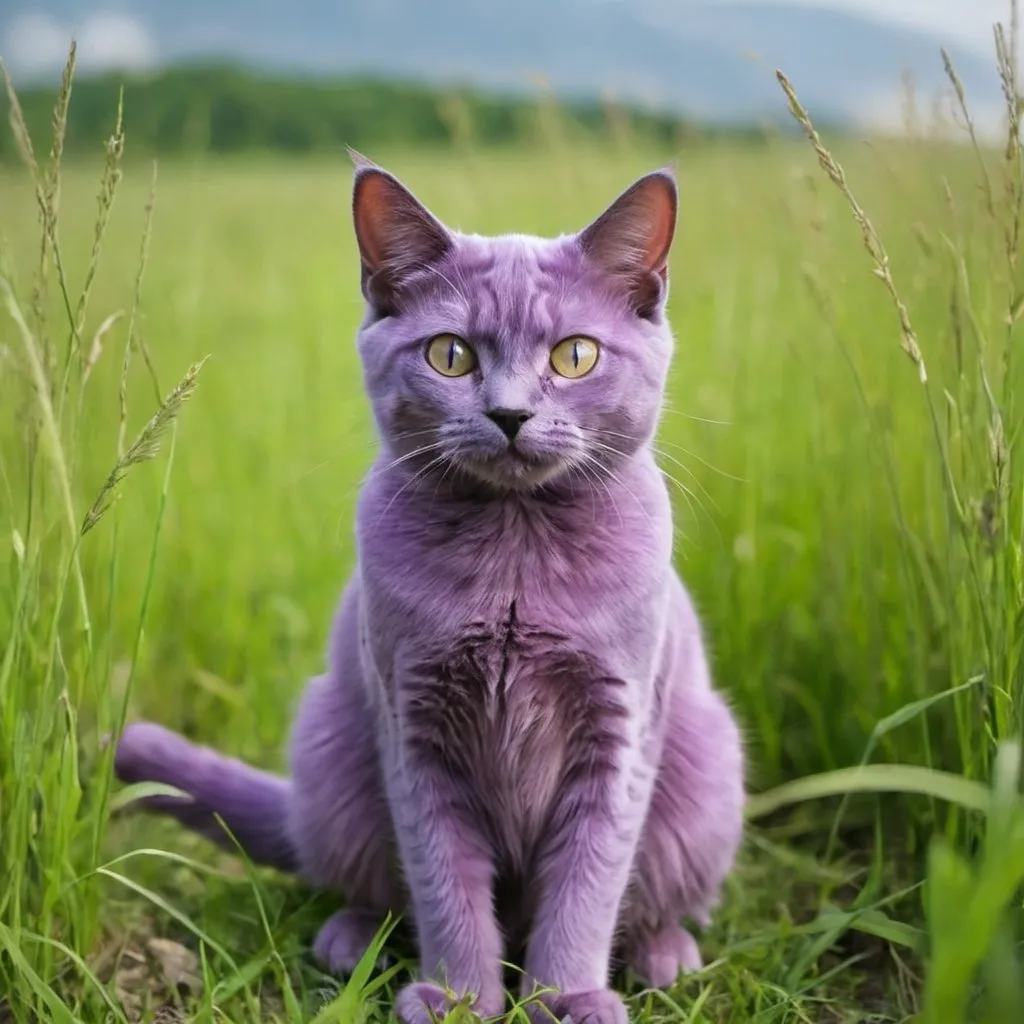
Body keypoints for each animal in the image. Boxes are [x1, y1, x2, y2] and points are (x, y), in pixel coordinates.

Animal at [116, 153, 745, 1024]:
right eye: (450, 355)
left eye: (574, 356)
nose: (510, 414)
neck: (514, 554)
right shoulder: (413, 721)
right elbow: (444, 883)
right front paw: (457, 997)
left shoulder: (619, 726)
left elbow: (587, 884)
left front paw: (565, 998)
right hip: (332, 745)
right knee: (363, 884)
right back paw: (350, 944)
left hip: (707, 763)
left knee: (659, 897)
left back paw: (664, 954)